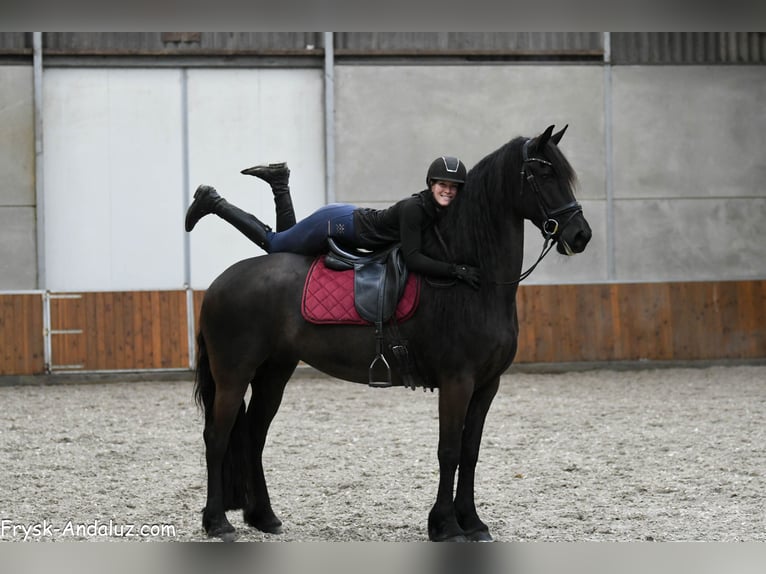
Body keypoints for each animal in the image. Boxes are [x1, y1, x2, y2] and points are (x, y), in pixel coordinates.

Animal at [193, 124, 592, 542]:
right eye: (544, 173)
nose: (581, 235)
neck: (471, 285)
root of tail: (219, 284)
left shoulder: (487, 384)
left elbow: (470, 451)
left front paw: (472, 522)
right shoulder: (457, 381)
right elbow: (449, 450)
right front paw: (445, 525)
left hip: (274, 371)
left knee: (254, 434)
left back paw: (264, 517)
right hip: (234, 374)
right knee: (217, 438)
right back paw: (217, 522)